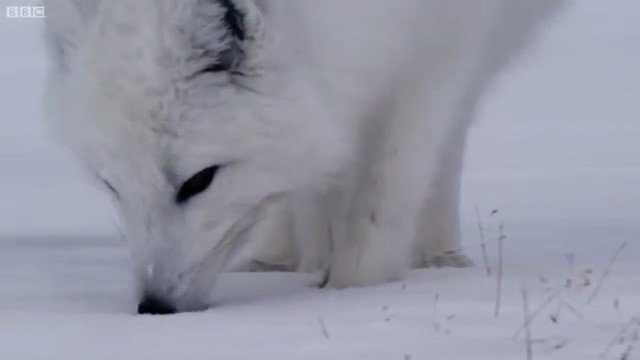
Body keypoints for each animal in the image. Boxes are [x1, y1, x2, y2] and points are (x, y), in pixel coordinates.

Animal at [46, 0, 560, 314]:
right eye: (111, 185)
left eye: (199, 181)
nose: (154, 307)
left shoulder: (439, 49)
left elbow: (385, 191)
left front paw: (354, 288)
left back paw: (437, 255)